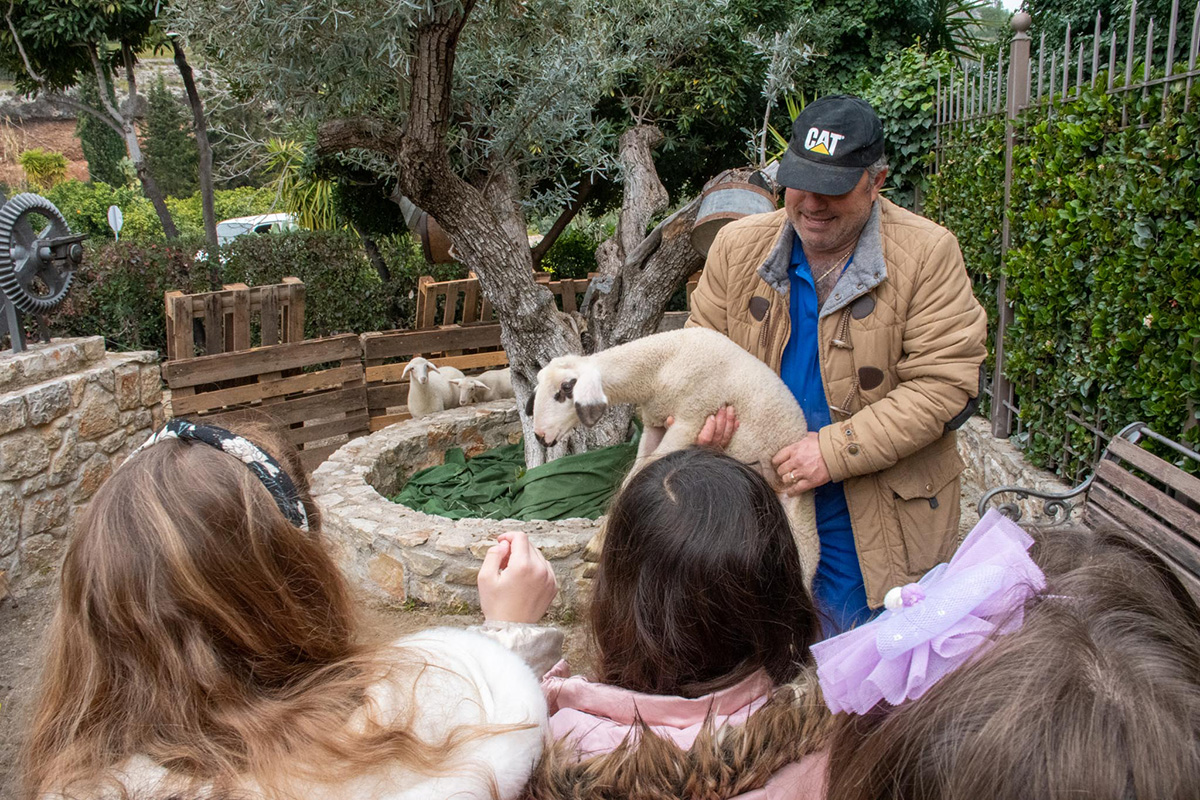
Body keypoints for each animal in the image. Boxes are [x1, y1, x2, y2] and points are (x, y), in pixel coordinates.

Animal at [532, 326, 820, 587]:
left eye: (566, 388)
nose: (539, 436)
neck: (660, 367)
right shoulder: (654, 424)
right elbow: (633, 475)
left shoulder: (690, 419)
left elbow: (645, 469)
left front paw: (600, 546)